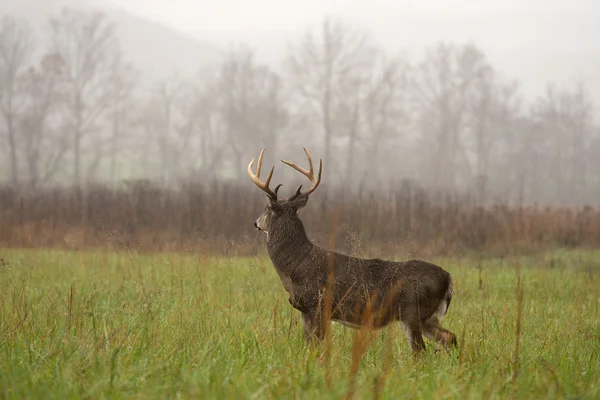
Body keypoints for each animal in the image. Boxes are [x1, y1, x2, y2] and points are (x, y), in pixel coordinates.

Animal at [246, 148, 458, 354]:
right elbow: (308, 345)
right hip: (428, 317)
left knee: (420, 351)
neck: (296, 265)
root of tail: (447, 278)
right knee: (450, 338)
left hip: (412, 311)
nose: (255, 223)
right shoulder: (306, 310)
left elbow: (316, 345)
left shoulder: (319, 305)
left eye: (266, 208)